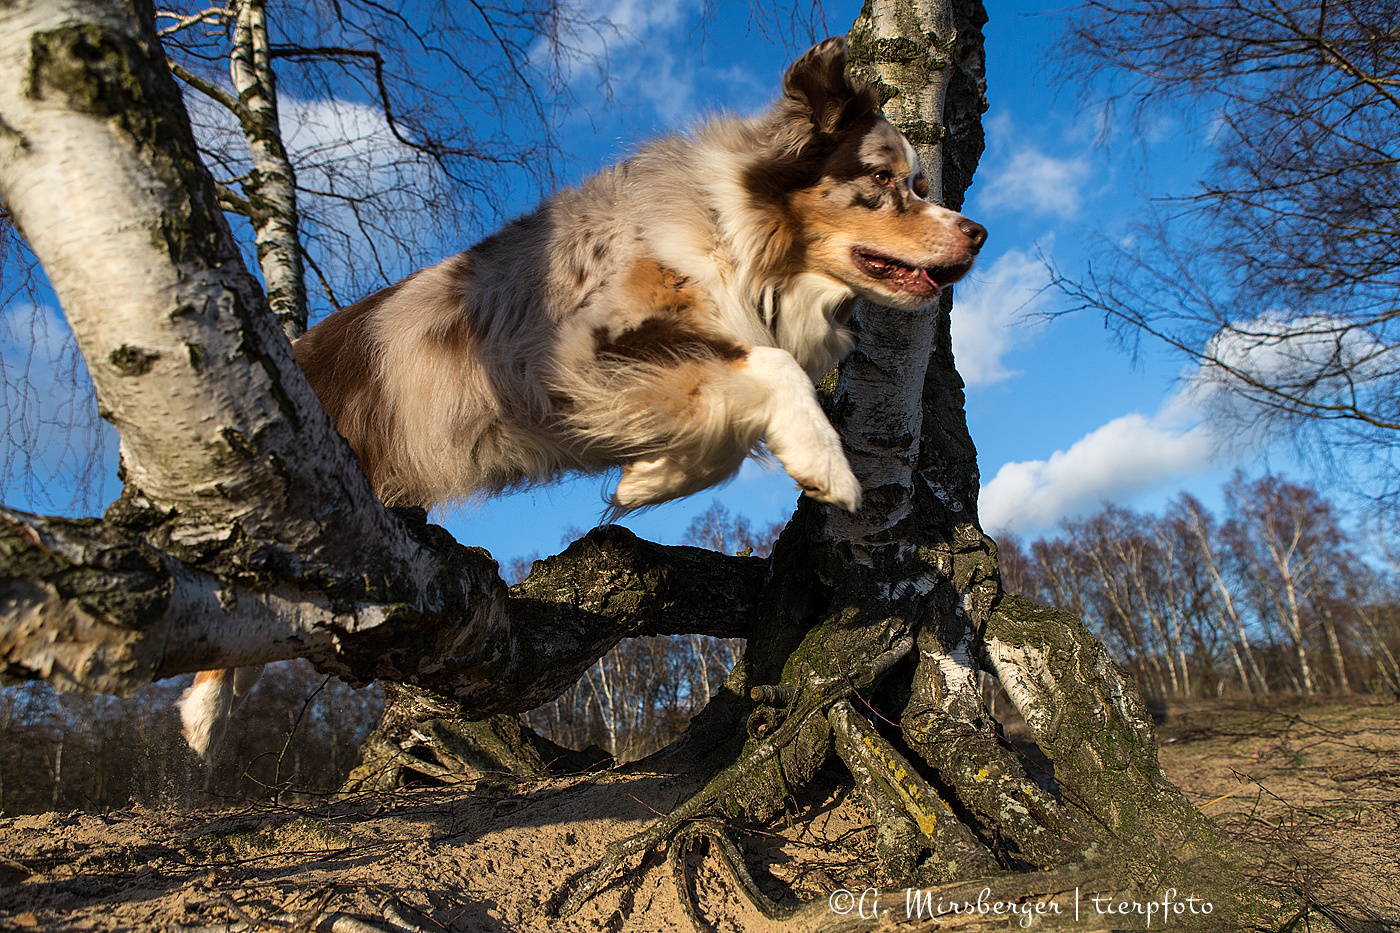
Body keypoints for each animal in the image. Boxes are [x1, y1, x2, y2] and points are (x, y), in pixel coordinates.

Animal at [180, 38, 991, 756]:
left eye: (922, 184)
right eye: (886, 181)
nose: (979, 233)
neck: (736, 233)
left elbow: (723, 411)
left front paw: (651, 477)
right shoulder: (579, 350)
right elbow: (770, 365)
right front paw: (824, 464)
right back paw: (200, 715)